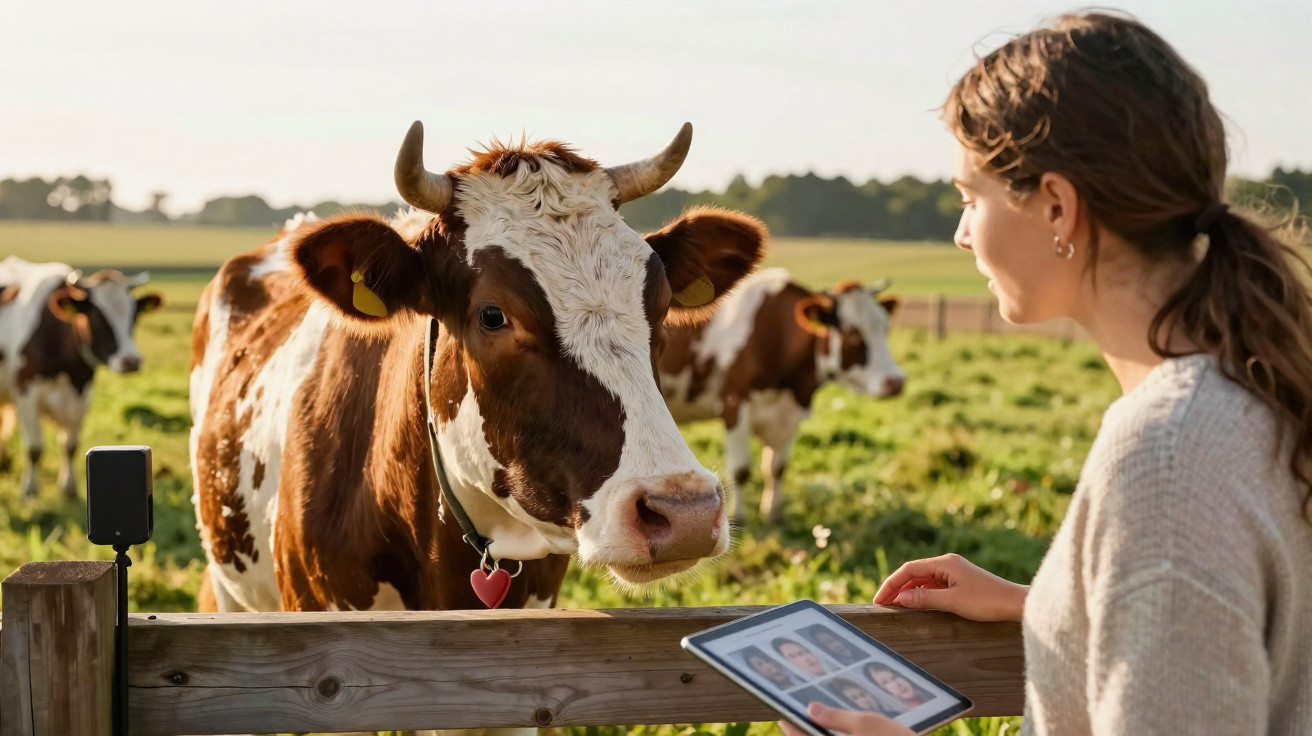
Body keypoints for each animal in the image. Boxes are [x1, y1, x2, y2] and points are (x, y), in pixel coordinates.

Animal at [0, 257, 163, 497]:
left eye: (134, 316)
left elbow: (70, 446)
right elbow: (35, 448)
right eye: (96, 317)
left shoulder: (82, 395)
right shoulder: (25, 391)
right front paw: (29, 491)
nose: (131, 361)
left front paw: (69, 488)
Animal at [658, 268, 904, 522]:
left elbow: (777, 468)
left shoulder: (789, 416)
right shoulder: (735, 407)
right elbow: (741, 469)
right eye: (851, 332)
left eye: (886, 328)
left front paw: (773, 513)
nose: (896, 382)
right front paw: (739, 516)